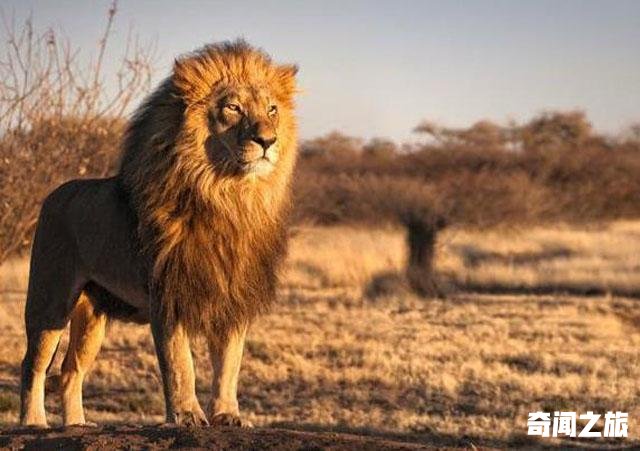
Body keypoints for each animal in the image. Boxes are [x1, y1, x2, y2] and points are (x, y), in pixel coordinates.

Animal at [20, 40, 298, 430]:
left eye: (272, 109)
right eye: (233, 108)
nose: (267, 140)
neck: (228, 197)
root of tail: (53, 194)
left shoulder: (232, 296)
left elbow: (229, 363)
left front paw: (228, 415)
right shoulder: (168, 294)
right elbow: (181, 364)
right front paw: (187, 415)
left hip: (92, 315)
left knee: (70, 371)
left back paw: (76, 425)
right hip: (51, 300)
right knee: (34, 364)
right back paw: (33, 423)